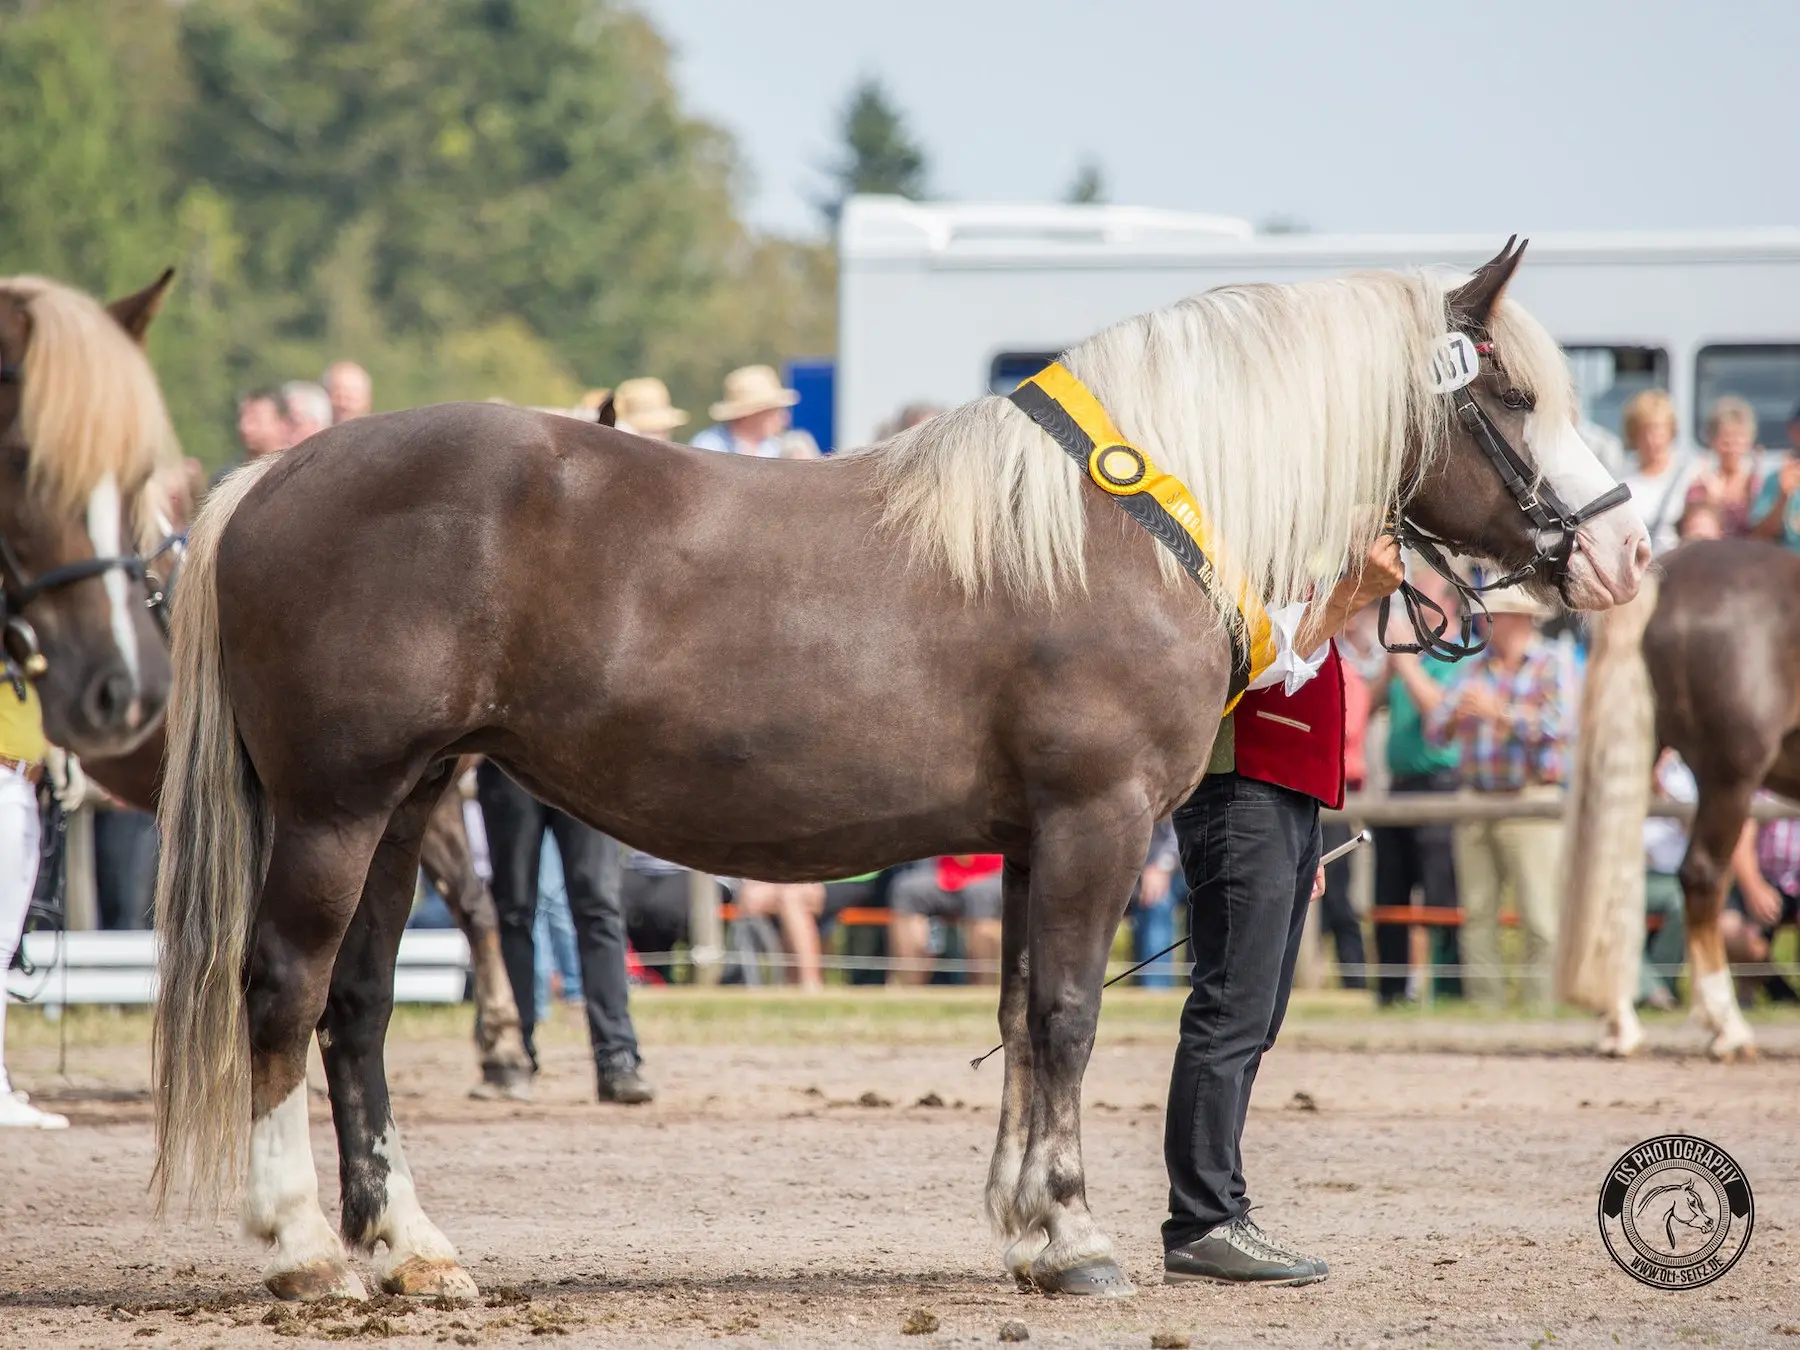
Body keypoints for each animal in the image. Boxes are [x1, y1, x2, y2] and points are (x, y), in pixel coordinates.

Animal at [151, 241, 1648, 1303]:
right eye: (1515, 396)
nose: (1626, 553)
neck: (1130, 527)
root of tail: (267, 480)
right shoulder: (1097, 823)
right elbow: (1067, 1020)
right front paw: (1077, 1238)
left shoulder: (1038, 836)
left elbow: (1024, 1015)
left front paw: (1030, 1230)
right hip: (337, 809)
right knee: (283, 992)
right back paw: (303, 1251)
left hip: (408, 807)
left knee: (356, 1012)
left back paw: (410, 1248)